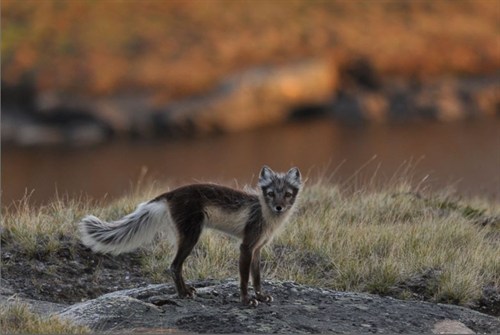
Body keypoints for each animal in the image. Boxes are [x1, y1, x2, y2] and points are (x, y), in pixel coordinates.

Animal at [80, 166, 302, 308]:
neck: (265, 215)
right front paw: (246, 301)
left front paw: (261, 296)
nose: (279, 207)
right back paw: (183, 293)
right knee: (174, 266)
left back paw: (185, 291)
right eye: (271, 193)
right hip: (191, 237)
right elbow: (244, 279)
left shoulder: (257, 248)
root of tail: (169, 194)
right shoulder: (246, 246)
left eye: (287, 194)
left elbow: (256, 277)